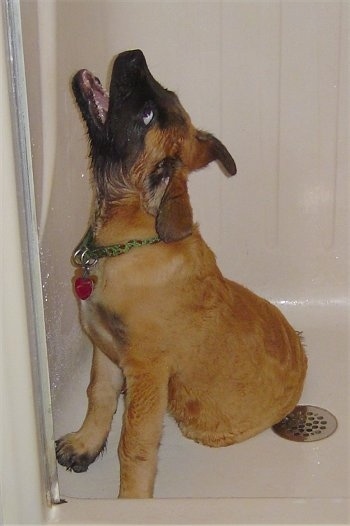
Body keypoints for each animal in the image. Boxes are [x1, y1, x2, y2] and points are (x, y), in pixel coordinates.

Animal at [56, 51, 308, 502]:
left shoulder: (147, 371)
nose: (133, 54)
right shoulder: (104, 347)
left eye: (146, 114)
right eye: (162, 98)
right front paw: (86, 443)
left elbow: (134, 443)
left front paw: (131, 503)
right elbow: (98, 395)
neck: (127, 243)